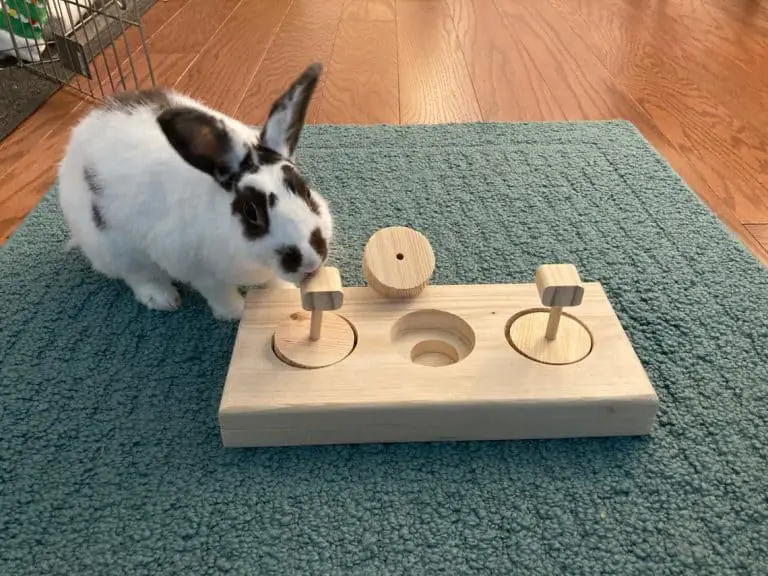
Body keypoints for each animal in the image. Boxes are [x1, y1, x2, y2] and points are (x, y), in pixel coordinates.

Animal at [57, 62, 333, 321]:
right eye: (251, 212)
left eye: (306, 191)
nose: (310, 261)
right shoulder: (199, 271)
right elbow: (220, 293)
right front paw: (237, 312)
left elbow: (273, 283)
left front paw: (283, 294)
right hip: (116, 248)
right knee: (138, 275)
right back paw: (164, 299)